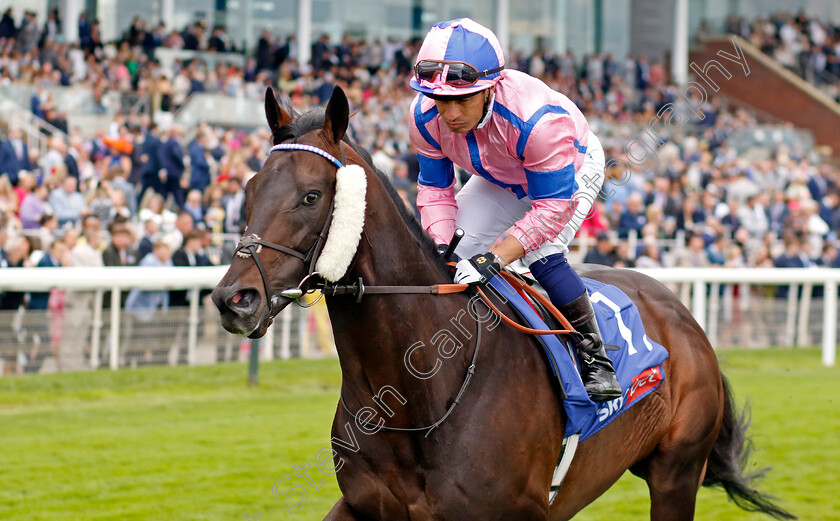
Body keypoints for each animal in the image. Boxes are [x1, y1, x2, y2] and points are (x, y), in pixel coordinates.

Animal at [212, 87, 796, 516]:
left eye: (311, 196)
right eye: (248, 189)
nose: (232, 299)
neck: (416, 391)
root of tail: (682, 314)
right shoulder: (363, 508)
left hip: (676, 473)